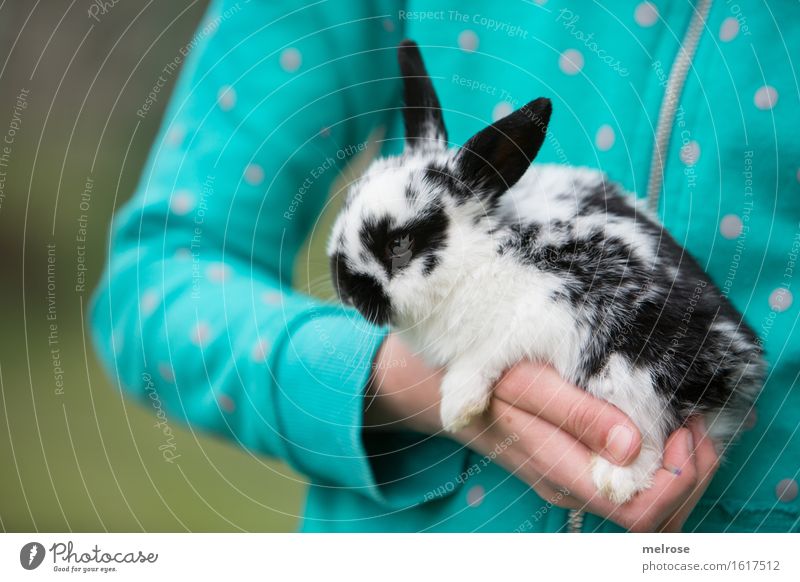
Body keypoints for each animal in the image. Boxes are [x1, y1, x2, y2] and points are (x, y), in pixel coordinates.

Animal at [328, 42, 764, 506]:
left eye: (399, 244)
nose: (346, 290)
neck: (482, 253)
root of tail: (741, 368)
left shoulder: (538, 313)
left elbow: (483, 356)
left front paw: (457, 407)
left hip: (634, 372)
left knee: (648, 433)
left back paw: (615, 481)